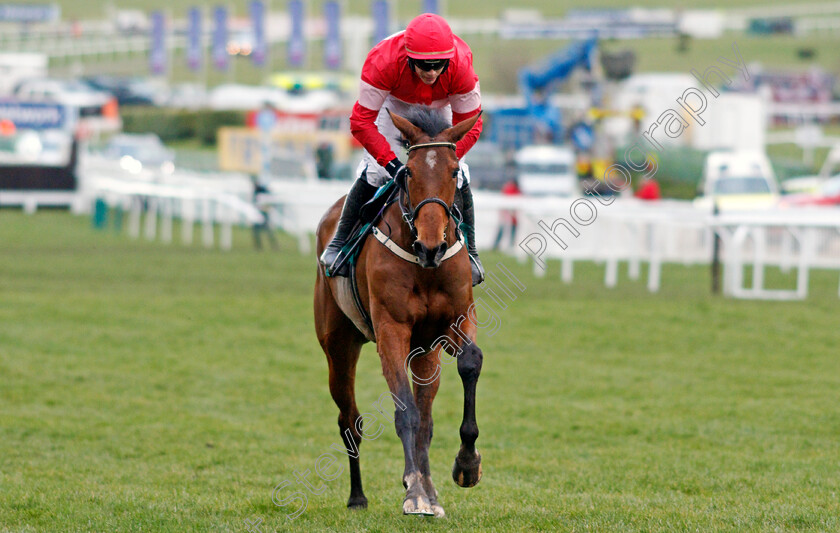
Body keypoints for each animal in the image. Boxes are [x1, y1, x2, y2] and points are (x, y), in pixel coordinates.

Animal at [314, 107, 486, 516]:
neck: (425, 266)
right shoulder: (391, 329)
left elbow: (470, 362)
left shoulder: (454, 322)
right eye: (408, 172)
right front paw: (415, 493)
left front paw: (466, 466)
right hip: (339, 346)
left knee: (426, 418)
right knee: (350, 420)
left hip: (424, 354)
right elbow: (404, 410)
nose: (431, 246)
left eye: (453, 172)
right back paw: (358, 496)